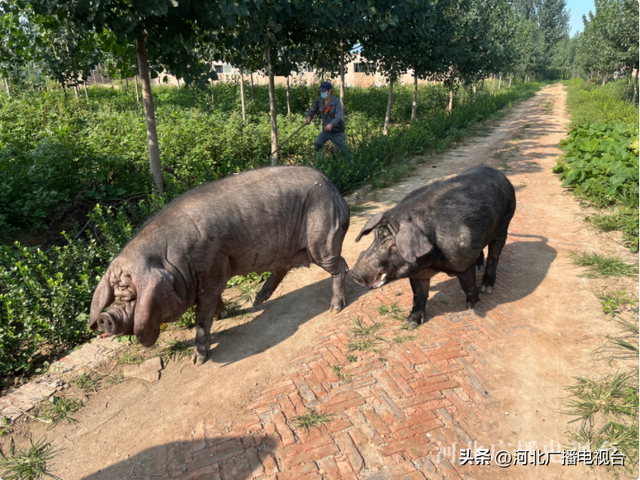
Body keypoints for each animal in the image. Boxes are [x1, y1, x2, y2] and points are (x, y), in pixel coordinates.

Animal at [89, 165, 350, 364]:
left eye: (133, 296)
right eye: (116, 293)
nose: (105, 317)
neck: (172, 263)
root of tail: (332, 186)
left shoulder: (212, 274)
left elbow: (201, 319)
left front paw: (197, 360)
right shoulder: (215, 277)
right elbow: (215, 303)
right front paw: (223, 314)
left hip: (322, 239)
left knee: (340, 266)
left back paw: (335, 308)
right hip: (288, 247)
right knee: (284, 267)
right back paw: (257, 301)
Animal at [348, 166, 516, 330]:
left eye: (393, 244)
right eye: (375, 236)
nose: (354, 273)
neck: (431, 262)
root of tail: (498, 173)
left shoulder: (463, 262)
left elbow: (468, 285)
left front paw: (474, 306)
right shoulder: (418, 273)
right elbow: (419, 295)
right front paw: (409, 325)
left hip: (505, 221)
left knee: (495, 255)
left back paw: (487, 287)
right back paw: (479, 267)